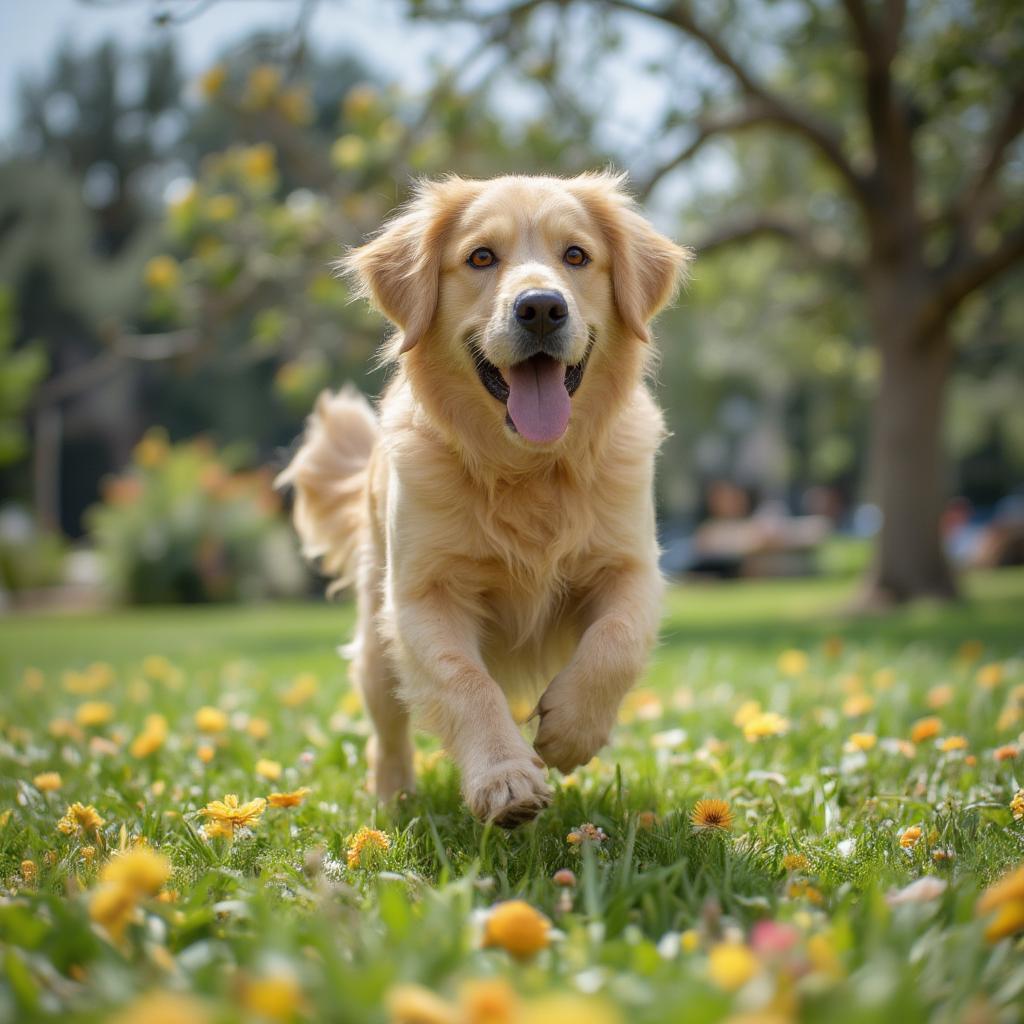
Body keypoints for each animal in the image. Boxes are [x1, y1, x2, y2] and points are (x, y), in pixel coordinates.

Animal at [282, 172, 688, 827]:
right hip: (376, 642)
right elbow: (465, 682)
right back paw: (394, 802)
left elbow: (615, 642)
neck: (528, 470)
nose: (542, 307)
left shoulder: (632, 566)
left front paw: (571, 731)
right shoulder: (421, 595)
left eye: (576, 255)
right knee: (387, 732)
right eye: (480, 257)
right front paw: (505, 779)